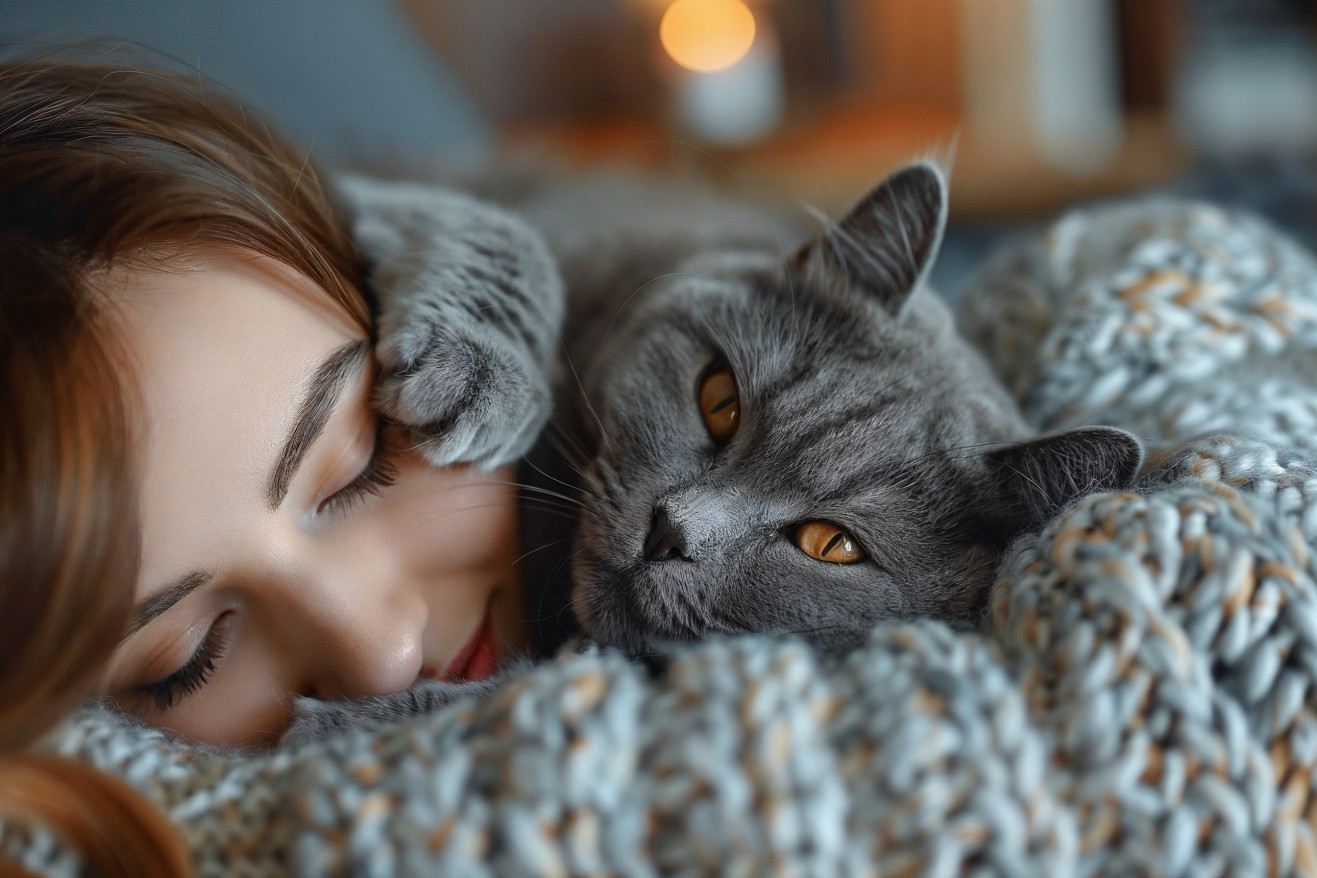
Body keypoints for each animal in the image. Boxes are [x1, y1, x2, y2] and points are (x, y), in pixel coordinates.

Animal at [280, 163, 1143, 742]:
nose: (670, 531)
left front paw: (338, 726)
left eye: (830, 545)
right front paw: (473, 378)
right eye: (719, 398)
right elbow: (500, 234)